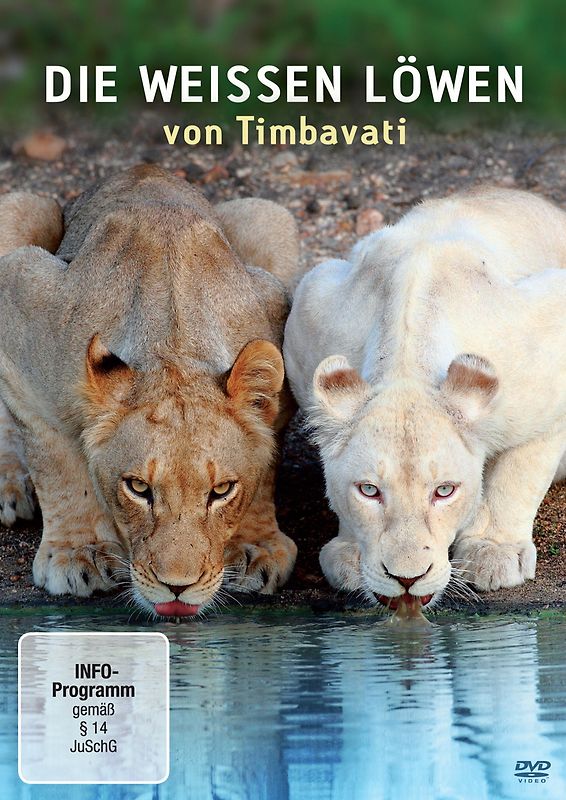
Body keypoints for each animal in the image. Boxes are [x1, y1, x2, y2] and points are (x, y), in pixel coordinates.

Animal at [0, 165, 299, 616]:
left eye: (221, 491)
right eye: (138, 489)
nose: (177, 587)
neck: (173, 345)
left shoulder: (277, 315)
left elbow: (264, 467)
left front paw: (253, 546)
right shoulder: (21, 303)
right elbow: (56, 463)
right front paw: (80, 551)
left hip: (269, 216)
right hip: (18, 208)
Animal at [284, 186, 566, 610]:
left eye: (444, 491)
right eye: (369, 490)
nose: (406, 579)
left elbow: (519, 472)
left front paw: (493, 552)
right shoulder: (311, 305)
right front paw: (349, 553)